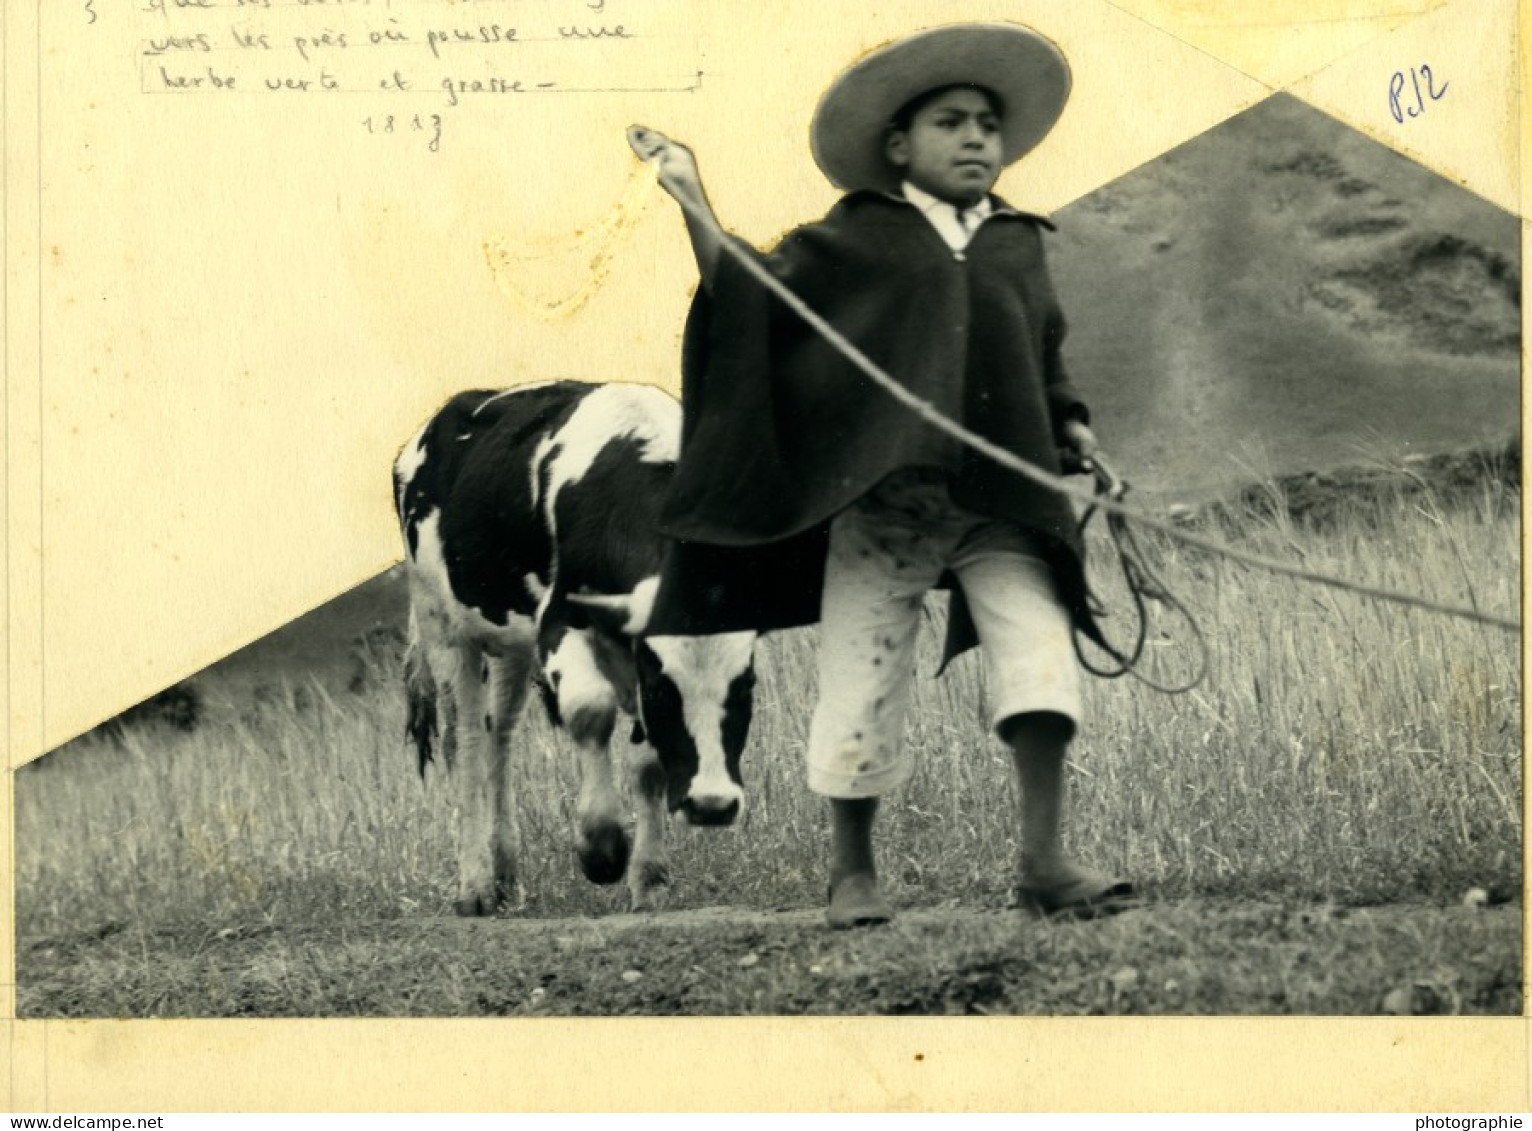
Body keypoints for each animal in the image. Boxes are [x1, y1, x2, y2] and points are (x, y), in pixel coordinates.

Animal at [392, 383, 756, 913]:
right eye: (662, 689)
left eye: (745, 688)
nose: (712, 806)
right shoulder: (560, 620)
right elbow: (589, 709)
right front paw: (601, 847)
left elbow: (647, 764)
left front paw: (648, 881)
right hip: (444, 624)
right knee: (465, 741)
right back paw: (475, 888)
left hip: (512, 643)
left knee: (499, 735)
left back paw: (506, 877)